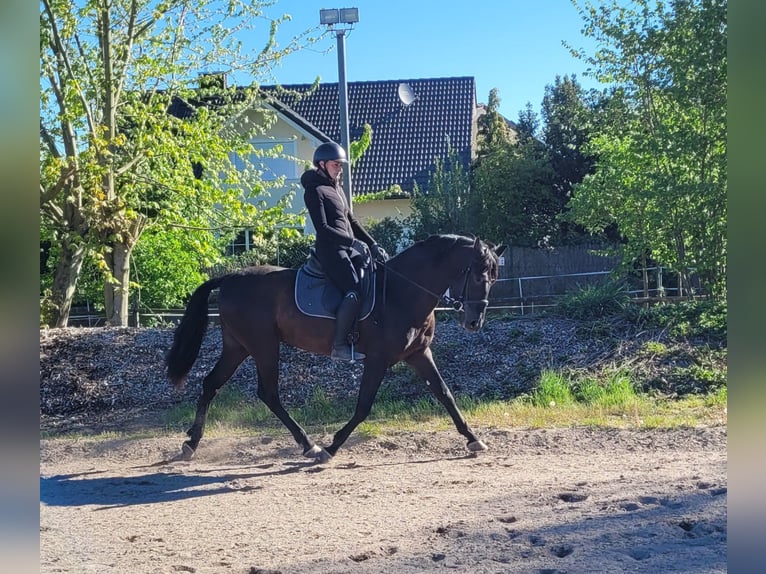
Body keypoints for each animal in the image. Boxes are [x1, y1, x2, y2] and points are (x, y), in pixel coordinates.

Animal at [166, 234, 506, 463]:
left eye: (494, 277)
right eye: (478, 275)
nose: (474, 322)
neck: (401, 292)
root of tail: (232, 277)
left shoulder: (419, 354)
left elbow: (445, 394)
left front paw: (473, 439)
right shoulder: (378, 359)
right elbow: (363, 406)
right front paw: (332, 447)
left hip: (238, 346)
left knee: (211, 384)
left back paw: (192, 443)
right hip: (263, 346)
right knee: (269, 393)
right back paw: (310, 445)